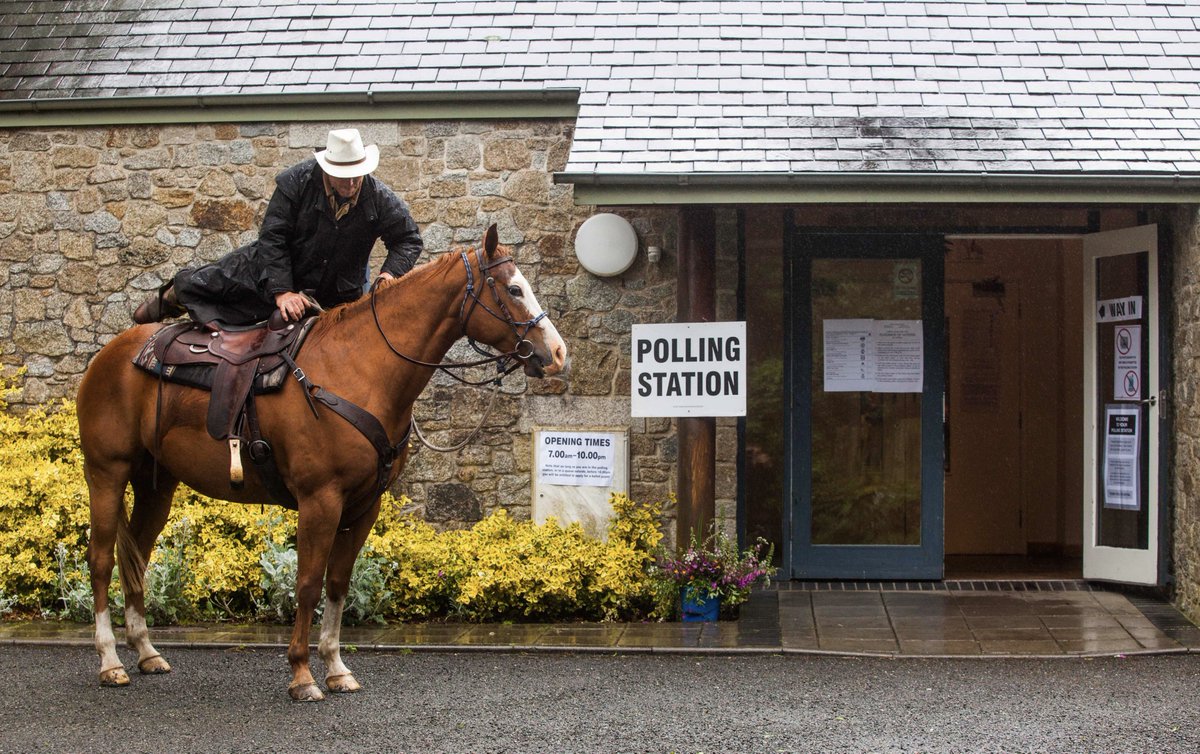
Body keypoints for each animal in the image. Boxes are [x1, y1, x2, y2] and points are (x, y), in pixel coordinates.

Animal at [78, 225, 566, 701]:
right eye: (514, 289)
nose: (558, 353)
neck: (359, 369)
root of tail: (111, 354)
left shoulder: (364, 506)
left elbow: (337, 584)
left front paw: (335, 668)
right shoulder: (320, 500)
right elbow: (308, 583)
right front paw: (301, 674)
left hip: (156, 484)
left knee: (135, 558)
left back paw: (146, 652)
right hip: (106, 473)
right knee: (100, 559)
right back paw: (109, 661)